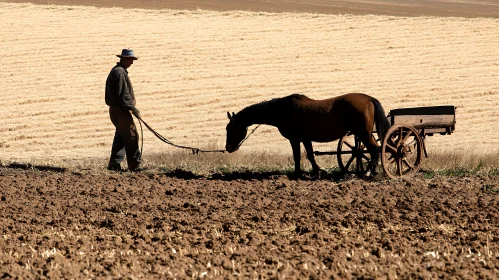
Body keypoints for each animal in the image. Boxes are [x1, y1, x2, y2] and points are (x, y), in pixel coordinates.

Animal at [225, 93, 392, 177]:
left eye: (230, 128)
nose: (228, 148)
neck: (282, 110)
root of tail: (368, 99)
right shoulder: (305, 139)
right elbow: (310, 155)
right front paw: (317, 171)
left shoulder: (295, 139)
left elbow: (298, 156)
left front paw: (298, 173)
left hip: (363, 133)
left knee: (373, 149)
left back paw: (369, 172)